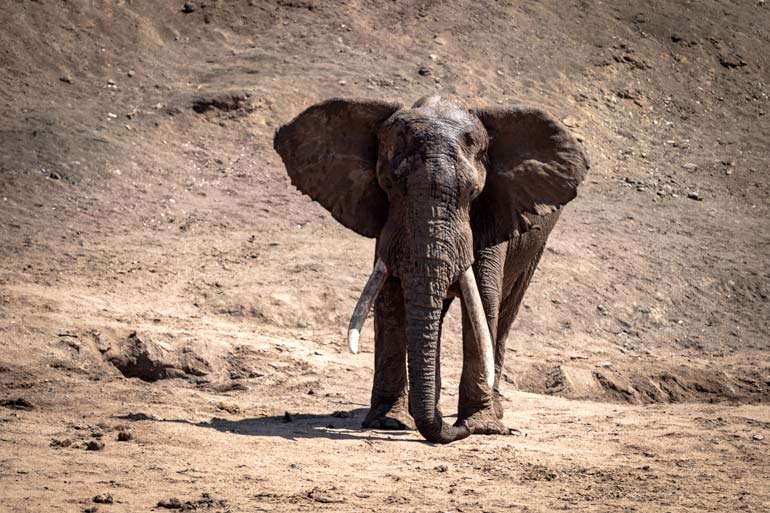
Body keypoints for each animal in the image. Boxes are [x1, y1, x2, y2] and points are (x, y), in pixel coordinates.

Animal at [274, 97, 588, 444]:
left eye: (473, 193)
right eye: (387, 186)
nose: (456, 429)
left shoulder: (493, 216)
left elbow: (483, 300)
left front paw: (482, 427)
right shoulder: (390, 226)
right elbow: (390, 297)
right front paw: (389, 423)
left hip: (535, 245)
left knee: (506, 311)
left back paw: (492, 411)